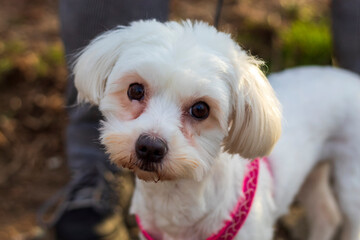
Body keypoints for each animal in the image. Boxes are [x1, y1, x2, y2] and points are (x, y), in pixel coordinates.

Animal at [73, 19, 360, 239]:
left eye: (201, 109)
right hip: (312, 173)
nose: (150, 147)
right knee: (326, 214)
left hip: (351, 186)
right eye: (135, 90)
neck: (172, 199)